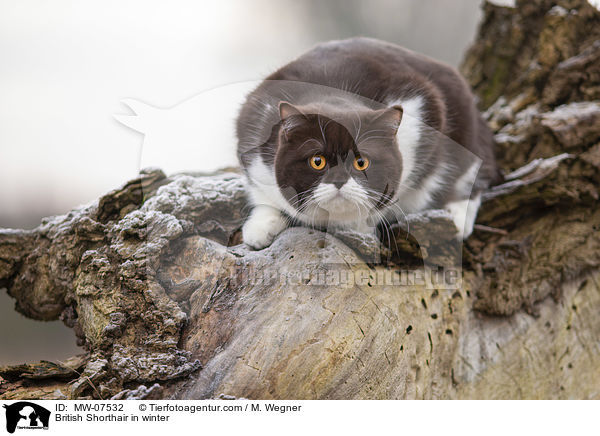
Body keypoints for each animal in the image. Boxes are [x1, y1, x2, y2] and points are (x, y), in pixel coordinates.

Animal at [237, 38, 500, 249]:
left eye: (361, 162)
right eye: (317, 161)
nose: (339, 180)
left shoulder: (422, 106)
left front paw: (360, 224)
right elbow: (263, 193)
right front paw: (261, 226)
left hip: (467, 129)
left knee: (474, 172)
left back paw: (458, 217)